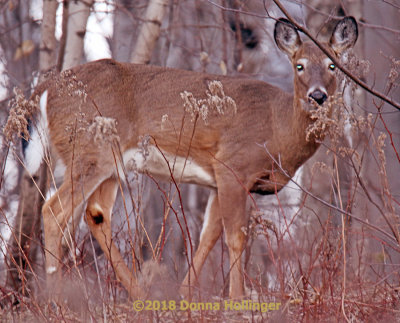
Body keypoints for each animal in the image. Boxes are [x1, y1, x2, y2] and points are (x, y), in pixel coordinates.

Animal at [20, 17, 358, 302]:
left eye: (333, 65)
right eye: (299, 65)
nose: (317, 96)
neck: (279, 128)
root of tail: (46, 89)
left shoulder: (219, 181)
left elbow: (208, 236)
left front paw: (185, 294)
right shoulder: (233, 165)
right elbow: (235, 238)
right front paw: (238, 298)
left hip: (111, 164)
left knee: (96, 214)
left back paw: (139, 295)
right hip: (89, 150)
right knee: (54, 210)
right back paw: (57, 300)